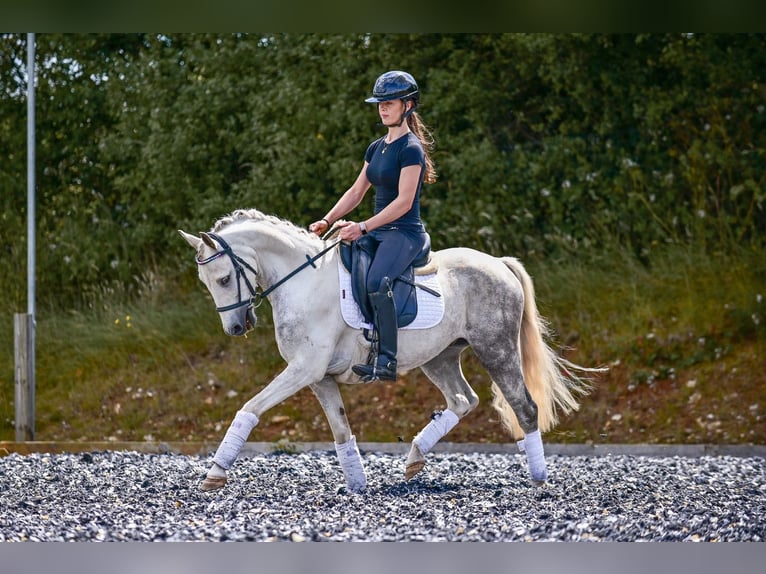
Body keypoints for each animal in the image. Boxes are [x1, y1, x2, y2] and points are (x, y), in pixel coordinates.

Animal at [180, 209, 600, 492]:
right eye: (206, 282)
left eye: (223, 279)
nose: (236, 328)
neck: (302, 282)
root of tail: (498, 262)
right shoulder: (319, 378)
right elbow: (341, 430)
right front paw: (357, 482)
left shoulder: (303, 370)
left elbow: (250, 408)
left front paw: (215, 472)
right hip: (440, 357)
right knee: (463, 400)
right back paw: (414, 459)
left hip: (495, 348)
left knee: (524, 407)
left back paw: (538, 478)